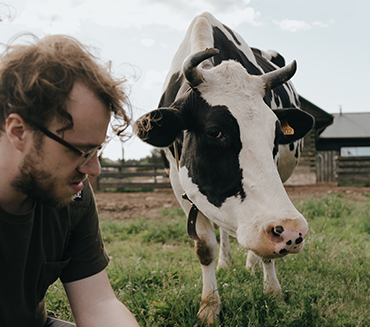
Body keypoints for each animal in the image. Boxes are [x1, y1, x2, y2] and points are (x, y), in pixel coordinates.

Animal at [134, 11, 314, 324]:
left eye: (275, 135)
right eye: (215, 132)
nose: (292, 232)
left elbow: (266, 253)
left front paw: (273, 293)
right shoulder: (179, 183)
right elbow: (205, 246)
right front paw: (209, 306)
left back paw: (250, 264)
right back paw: (226, 262)